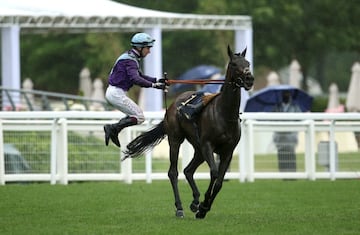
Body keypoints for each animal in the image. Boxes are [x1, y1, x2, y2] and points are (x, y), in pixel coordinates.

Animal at [125, 44, 255, 218]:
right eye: (234, 64)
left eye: (247, 63)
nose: (249, 79)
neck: (224, 114)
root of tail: (173, 105)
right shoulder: (208, 145)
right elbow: (214, 173)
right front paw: (204, 206)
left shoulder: (228, 151)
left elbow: (219, 182)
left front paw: (203, 207)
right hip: (176, 140)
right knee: (173, 172)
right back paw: (180, 207)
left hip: (198, 148)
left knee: (188, 170)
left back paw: (194, 202)